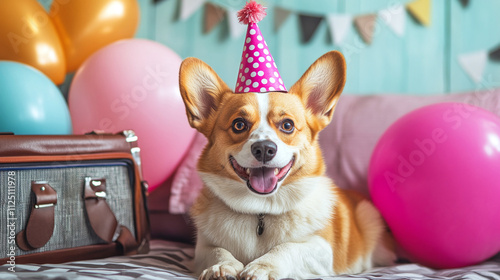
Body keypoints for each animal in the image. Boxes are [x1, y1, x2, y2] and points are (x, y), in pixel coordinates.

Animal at [179, 50, 394, 280]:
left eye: (287, 125)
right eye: (239, 124)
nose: (264, 148)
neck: (260, 210)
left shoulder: (322, 249)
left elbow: (288, 247)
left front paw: (262, 266)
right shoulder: (201, 248)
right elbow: (217, 250)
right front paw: (222, 267)